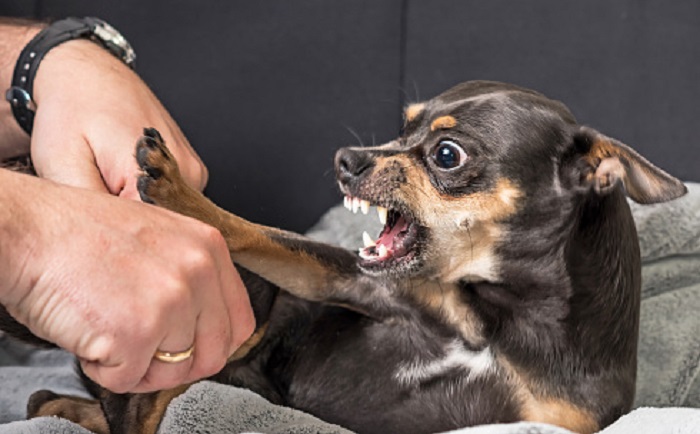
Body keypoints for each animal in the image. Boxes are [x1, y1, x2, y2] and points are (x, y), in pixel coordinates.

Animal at [4, 81, 688, 434]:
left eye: (447, 155)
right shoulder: (353, 282)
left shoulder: (555, 422)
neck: (499, 318)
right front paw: (180, 192)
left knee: (104, 411)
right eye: (402, 127)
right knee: (128, 410)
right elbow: (256, 233)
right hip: (247, 313)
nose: (346, 159)